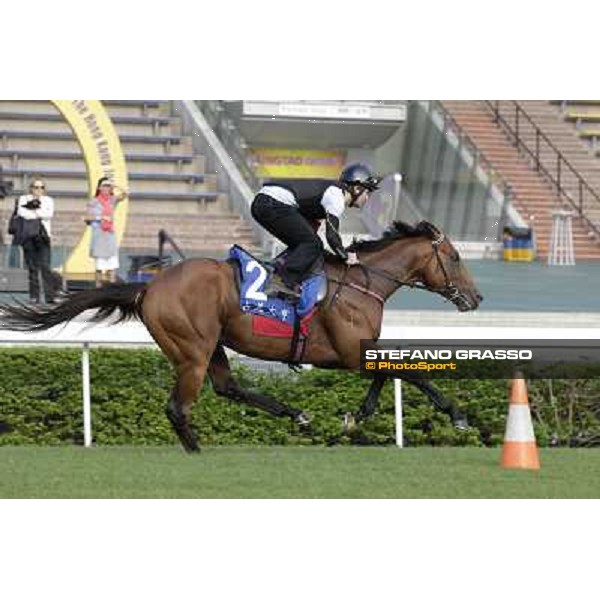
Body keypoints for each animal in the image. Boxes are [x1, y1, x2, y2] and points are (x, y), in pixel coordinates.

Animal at [0, 220, 480, 450]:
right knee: (178, 406)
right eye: (455, 257)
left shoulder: (352, 352)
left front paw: (355, 416)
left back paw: (295, 414)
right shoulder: (347, 350)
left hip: (212, 345)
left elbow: (389, 372)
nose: (475, 298)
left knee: (227, 387)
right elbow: (405, 370)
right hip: (192, 350)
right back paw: (197, 451)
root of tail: (149, 286)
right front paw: (457, 415)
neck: (364, 283)